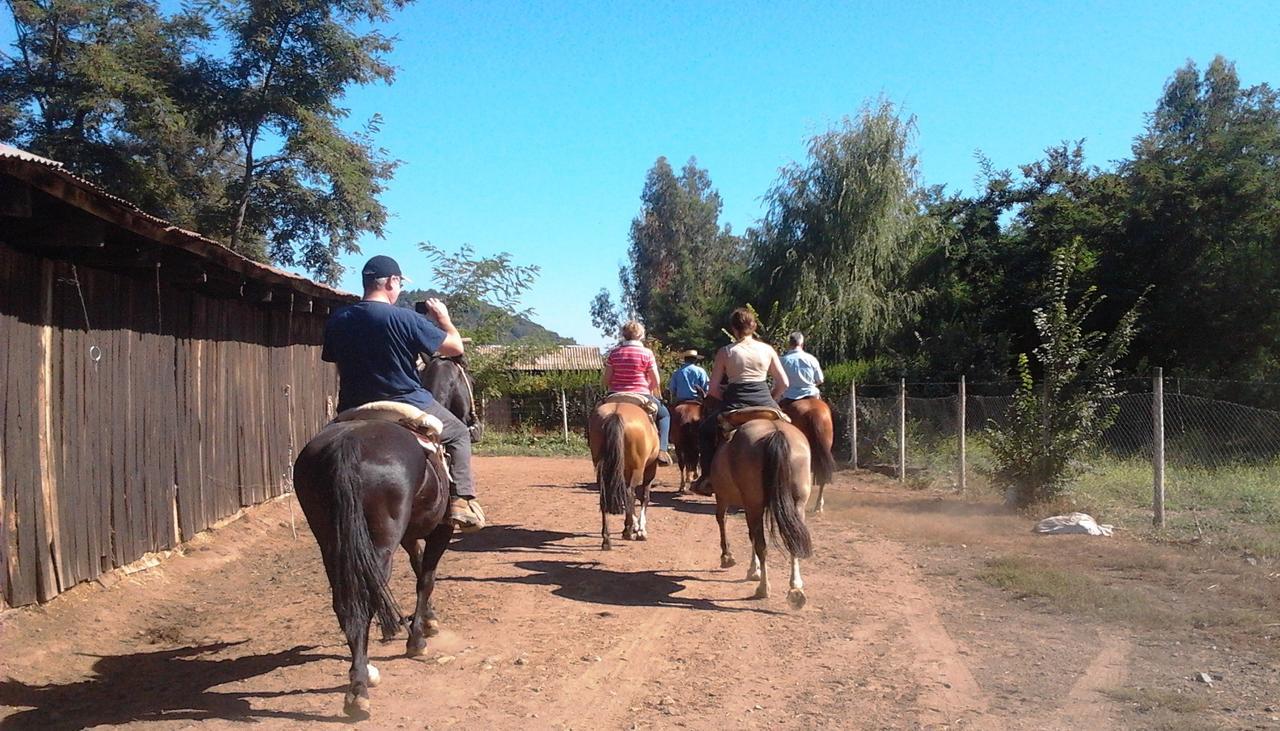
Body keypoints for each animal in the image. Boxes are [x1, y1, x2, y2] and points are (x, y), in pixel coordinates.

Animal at [588, 399, 660, 547]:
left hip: (602, 469)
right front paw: (640, 530)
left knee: (606, 496)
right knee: (629, 494)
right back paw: (628, 531)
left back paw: (607, 539)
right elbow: (644, 497)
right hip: (637, 469)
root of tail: (616, 413)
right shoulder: (650, 469)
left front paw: (636, 526)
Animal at [706, 414, 814, 609]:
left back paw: (763, 588)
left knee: (761, 545)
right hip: (797, 504)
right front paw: (753, 570)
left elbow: (723, 521)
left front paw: (728, 557)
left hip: (752, 503)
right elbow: (752, 535)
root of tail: (775, 432)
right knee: (793, 540)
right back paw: (796, 589)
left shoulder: (724, 498)